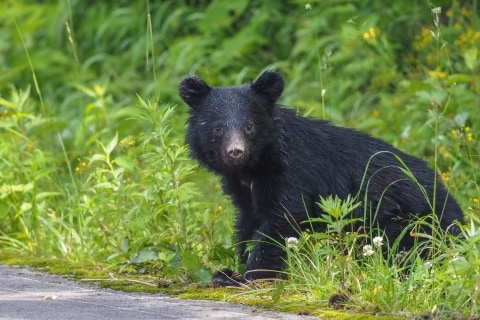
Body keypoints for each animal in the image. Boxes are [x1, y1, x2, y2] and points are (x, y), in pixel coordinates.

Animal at [178, 70, 464, 284]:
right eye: (218, 129)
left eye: (249, 126)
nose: (235, 152)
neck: (255, 167)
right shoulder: (243, 191)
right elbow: (248, 222)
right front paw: (229, 271)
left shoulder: (292, 174)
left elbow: (282, 221)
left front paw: (248, 277)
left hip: (409, 223)